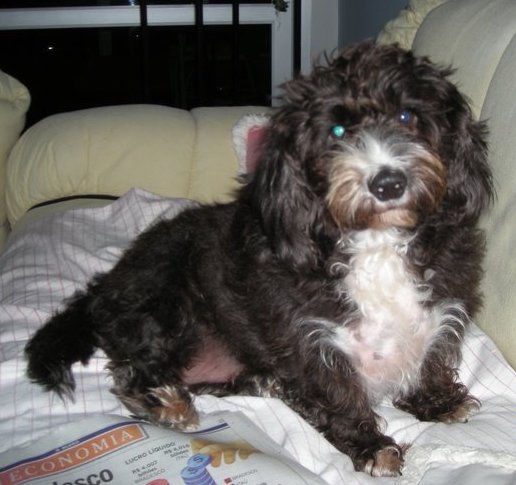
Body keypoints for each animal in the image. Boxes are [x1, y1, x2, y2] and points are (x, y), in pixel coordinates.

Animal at [26, 39, 494, 474]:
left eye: (407, 116)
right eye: (337, 132)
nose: (388, 183)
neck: (377, 242)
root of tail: (105, 285)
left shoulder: (442, 307)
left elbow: (431, 359)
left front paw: (437, 402)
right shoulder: (310, 338)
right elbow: (339, 394)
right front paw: (371, 445)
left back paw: (263, 383)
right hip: (166, 300)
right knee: (131, 371)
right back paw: (166, 404)